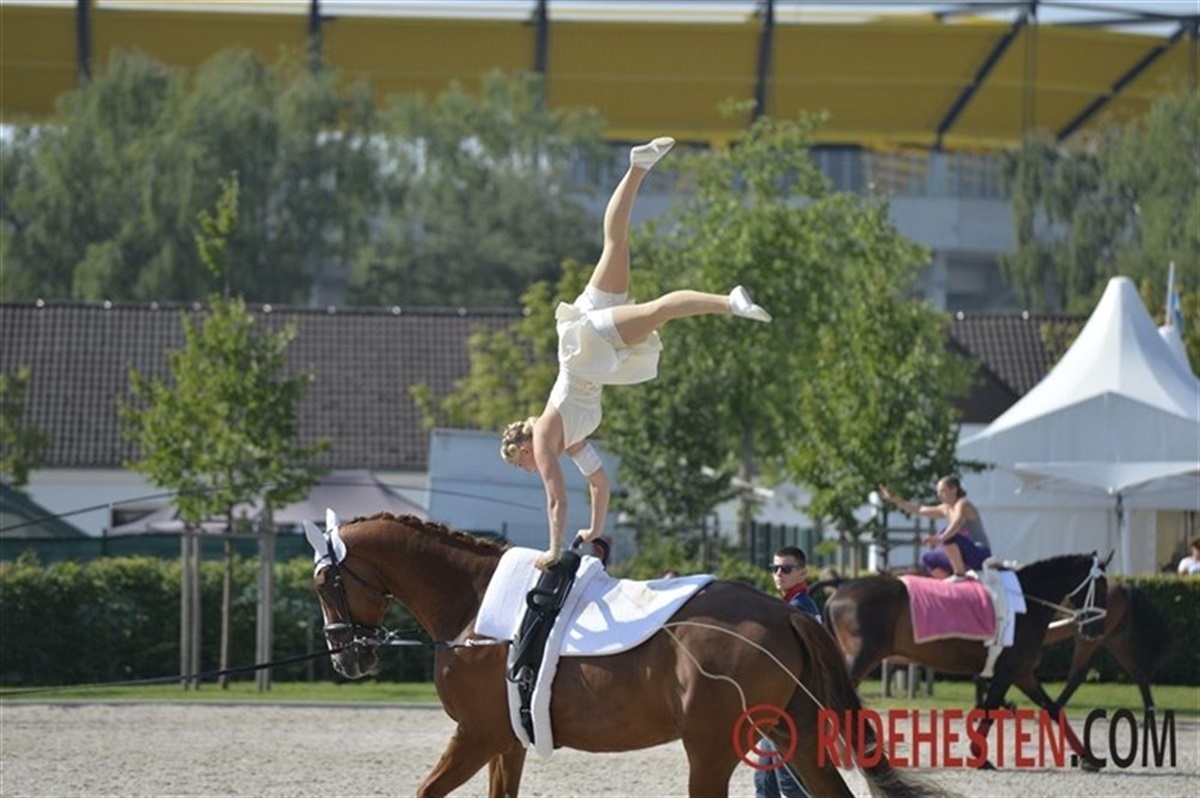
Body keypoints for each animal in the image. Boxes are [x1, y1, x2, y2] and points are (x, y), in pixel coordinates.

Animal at [306, 512, 954, 798]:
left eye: (322, 583)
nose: (346, 660)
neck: (472, 607)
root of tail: (785, 611)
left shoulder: (475, 734)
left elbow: (424, 793)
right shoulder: (504, 741)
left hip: (711, 747)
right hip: (792, 729)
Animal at [822, 552, 1110, 770]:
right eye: (1101, 588)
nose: (1095, 630)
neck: (1026, 603)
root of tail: (840, 591)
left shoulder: (1023, 674)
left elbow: (1053, 709)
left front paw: (1088, 757)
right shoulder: (1007, 672)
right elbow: (991, 709)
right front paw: (979, 756)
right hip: (860, 659)